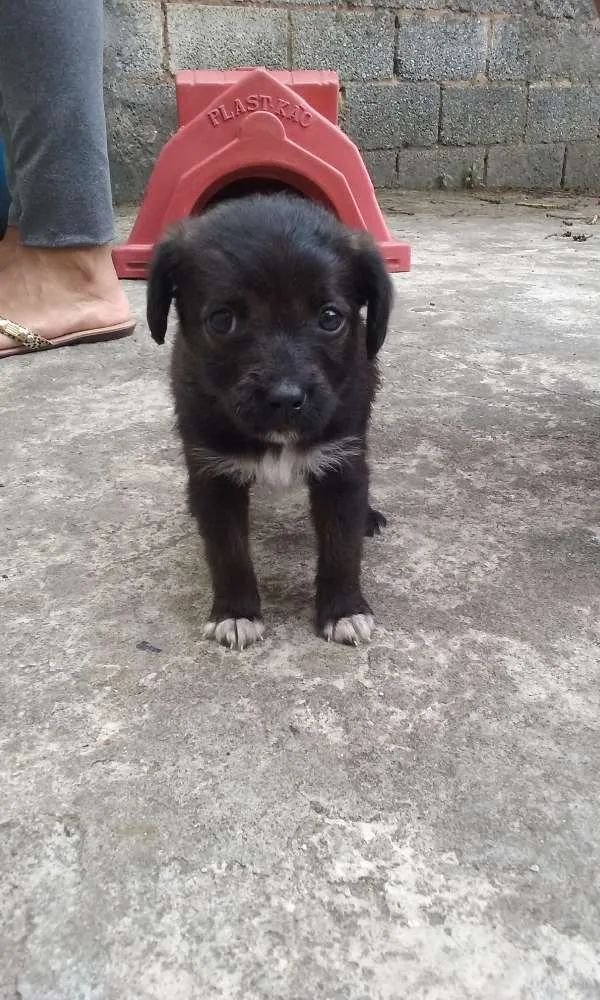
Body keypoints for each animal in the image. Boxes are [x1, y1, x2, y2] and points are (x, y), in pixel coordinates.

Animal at [148, 193, 394, 648]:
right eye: (222, 319)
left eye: (330, 317)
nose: (285, 398)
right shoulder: (213, 471)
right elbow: (227, 552)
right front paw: (236, 613)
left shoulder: (342, 460)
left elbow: (342, 545)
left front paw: (344, 610)